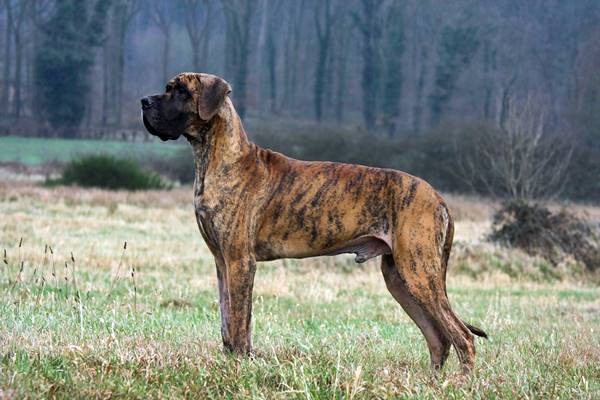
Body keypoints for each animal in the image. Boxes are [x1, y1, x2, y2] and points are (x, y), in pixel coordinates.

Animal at [142, 71, 488, 372]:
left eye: (181, 91)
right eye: (167, 87)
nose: (144, 101)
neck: (219, 158)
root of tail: (438, 197)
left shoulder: (240, 261)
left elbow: (240, 323)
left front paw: (240, 366)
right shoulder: (222, 262)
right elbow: (227, 320)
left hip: (419, 273)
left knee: (462, 337)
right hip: (399, 278)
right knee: (439, 338)